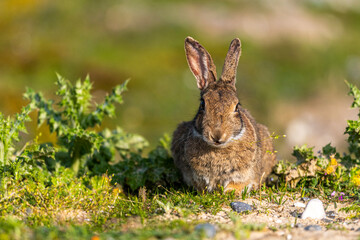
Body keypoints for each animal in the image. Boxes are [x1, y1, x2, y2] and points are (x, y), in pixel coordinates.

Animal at [171, 37, 276, 195]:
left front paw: (230, 192)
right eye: (203, 104)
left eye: (237, 106)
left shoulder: (244, 175)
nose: (217, 135)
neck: (219, 149)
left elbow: (238, 184)